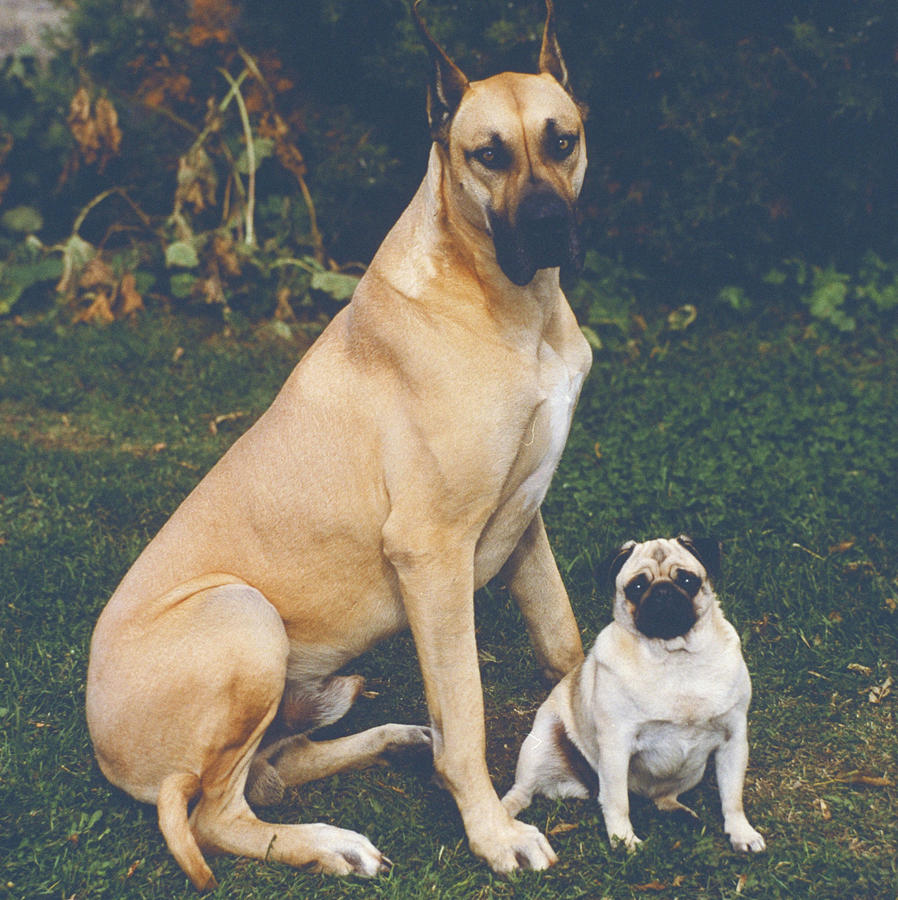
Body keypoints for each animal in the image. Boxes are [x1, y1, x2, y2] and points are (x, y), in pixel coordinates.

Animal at [84, 0, 588, 884]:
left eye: (562, 140)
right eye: (488, 155)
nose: (549, 225)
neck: (513, 307)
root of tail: (106, 752)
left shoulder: (523, 519)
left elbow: (562, 640)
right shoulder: (432, 552)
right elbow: (467, 716)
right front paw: (494, 833)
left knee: (278, 766)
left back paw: (394, 743)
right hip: (245, 616)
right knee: (219, 814)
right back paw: (331, 843)